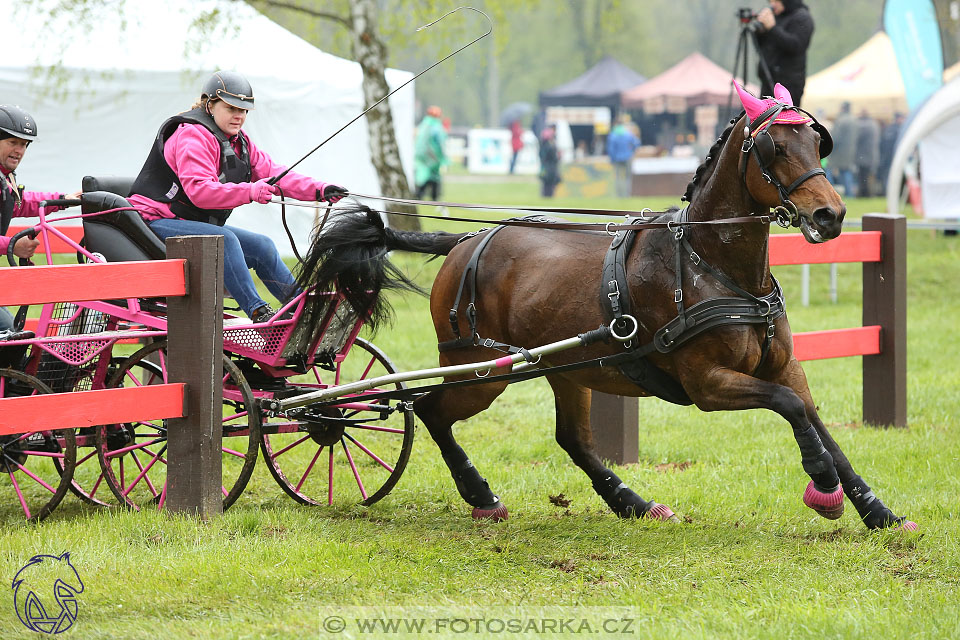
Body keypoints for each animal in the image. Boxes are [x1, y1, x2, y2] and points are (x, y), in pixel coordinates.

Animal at [298, 85, 916, 532]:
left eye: (816, 141)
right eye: (775, 148)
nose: (831, 215)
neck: (714, 264)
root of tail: (465, 242)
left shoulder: (782, 365)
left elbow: (814, 419)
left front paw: (876, 510)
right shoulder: (707, 384)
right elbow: (790, 409)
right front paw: (823, 487)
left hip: (565, 369)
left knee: (570, 439)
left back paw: (632, 503)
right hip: (480, 369)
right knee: (428, 410)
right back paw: (480, 494)